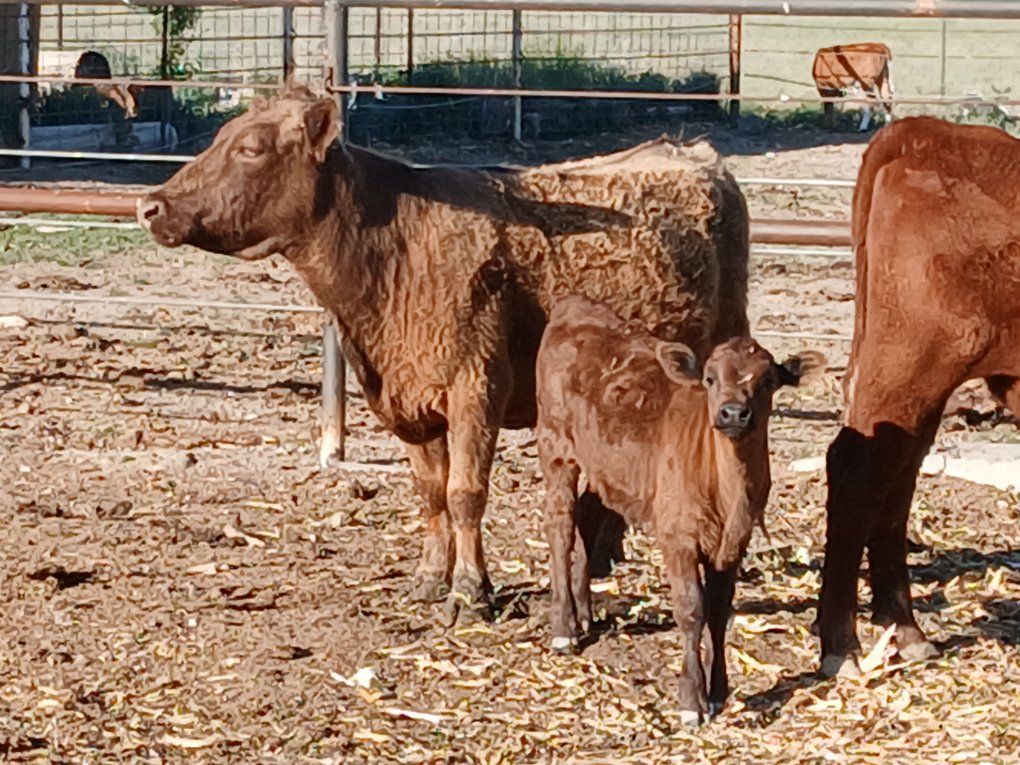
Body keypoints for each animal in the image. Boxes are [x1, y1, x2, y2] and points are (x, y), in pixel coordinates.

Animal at [136, 85, 751, 624]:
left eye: (252, 147)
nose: (150, 204)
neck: (395, 252)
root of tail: (691, 152)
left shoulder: (475, 389)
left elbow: (464, 494)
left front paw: (471, 591)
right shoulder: (406, 401)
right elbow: (430, 493)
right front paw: (431, 578)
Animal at [536, 295, 824, 725]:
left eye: (767, 382)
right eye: (709, 378)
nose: (733, 413)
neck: (728, 492)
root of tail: (575, 307)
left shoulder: (734, 543)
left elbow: (720, 611)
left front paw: (718, 694)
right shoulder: (678, 536)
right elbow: (692, 610)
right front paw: (692, 700)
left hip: (610, 467)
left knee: (588, 514)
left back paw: (584, 611)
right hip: (555, 445)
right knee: (560, 526)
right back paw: (565, 628)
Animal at [816, 116, 1020, 678]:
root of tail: (926, 131)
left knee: (898, 474)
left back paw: (903, 628)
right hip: (913, 360)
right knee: (859, 469)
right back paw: (840, 644)